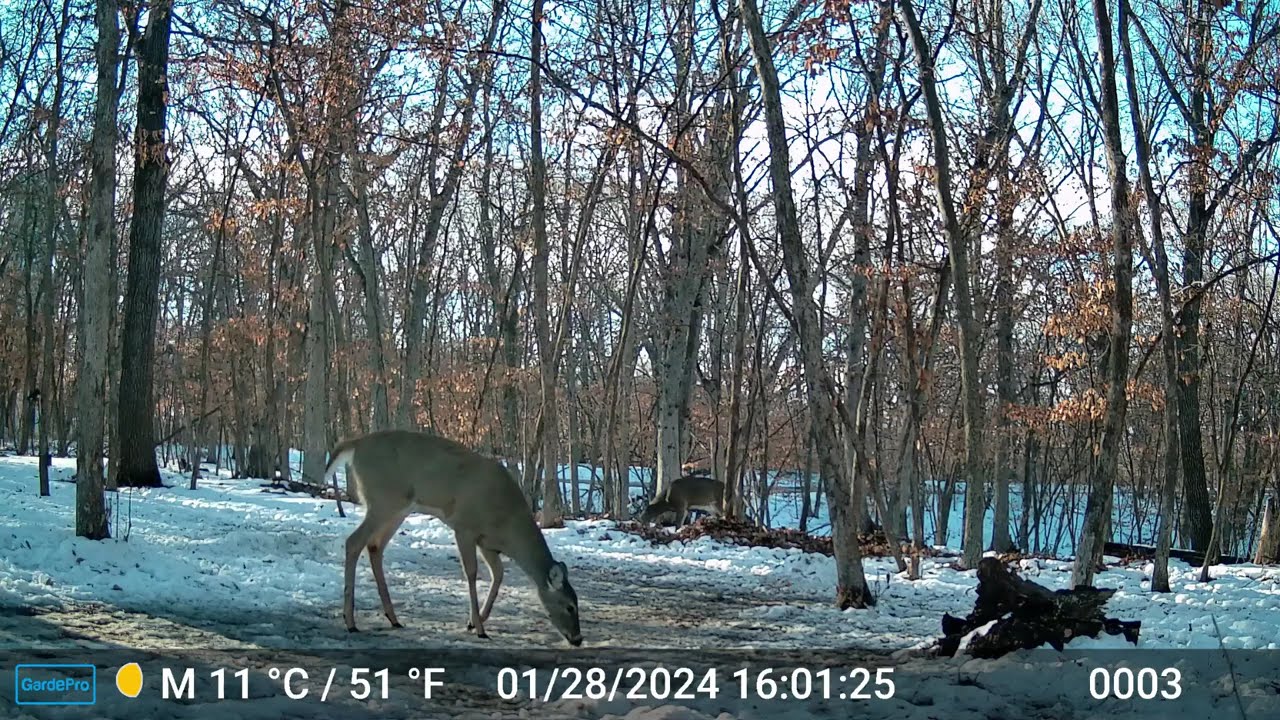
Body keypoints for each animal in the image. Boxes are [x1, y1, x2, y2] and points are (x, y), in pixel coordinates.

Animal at [323, 429, 582, 646]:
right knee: (353, 542)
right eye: (569, 607)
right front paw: (479, 628)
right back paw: (351, 622)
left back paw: (393, 618)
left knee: (374, 546)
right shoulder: (464, 527)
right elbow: (471, 573)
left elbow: (498, 574)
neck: (508, 523)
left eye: (577, 602)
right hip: (383, 500)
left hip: (397, 509)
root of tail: (356, 444)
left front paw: (476, 620)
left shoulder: (487, 543)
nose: (578, 639)